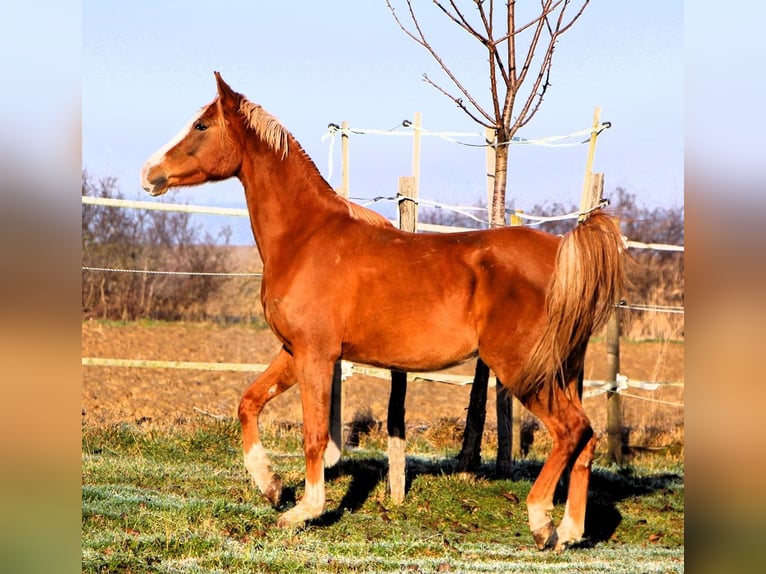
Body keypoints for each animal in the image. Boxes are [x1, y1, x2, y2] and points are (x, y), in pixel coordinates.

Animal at [141, 72, 624, 551]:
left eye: (201, 125)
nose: (149, 173)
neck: (305, 238)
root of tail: (562, 253)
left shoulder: (317, 354)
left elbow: (315, 435)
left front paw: (303, 511)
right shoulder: (294, 351)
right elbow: (248, 403)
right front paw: (272, 486)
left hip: (525, 371)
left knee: (571, 430)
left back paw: (541, 522)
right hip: (565, 369)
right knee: (586, 440)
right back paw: (570, 532)